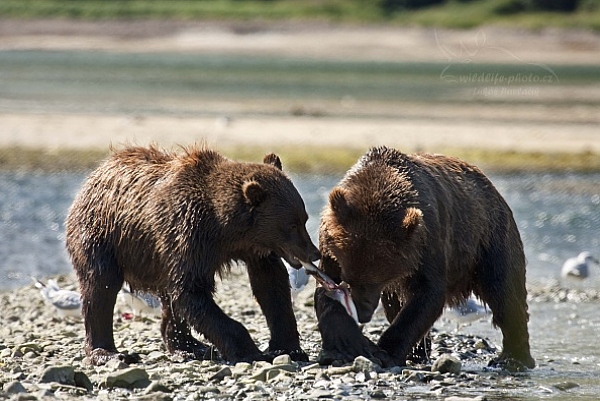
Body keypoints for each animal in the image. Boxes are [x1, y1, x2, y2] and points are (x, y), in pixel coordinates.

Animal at [66, 145, 322, 366]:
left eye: (303, 219)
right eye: (291, 225)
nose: (314, 252)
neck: (225, 229)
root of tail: (95, 174)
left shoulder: (255, 250)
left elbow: (271, 286)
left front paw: (289, 349)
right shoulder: (188, 233)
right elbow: (191, 290)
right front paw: (250, 351)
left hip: (154, 256)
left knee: (167, 296)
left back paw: (189, 347)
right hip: (102, 234)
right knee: (101, 286)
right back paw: (107, 352)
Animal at [314, 146, 536, 368]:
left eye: (376, 280)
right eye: (349, 278)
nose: (363, 312)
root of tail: (492, 188)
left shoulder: (428, 242)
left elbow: (428, 293)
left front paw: (385, 351)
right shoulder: (330, 247)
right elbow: (325, 290)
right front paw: (349, 343)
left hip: (489, 239)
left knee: (505, 293)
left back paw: (514, 357)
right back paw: (420, 352)